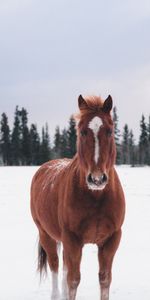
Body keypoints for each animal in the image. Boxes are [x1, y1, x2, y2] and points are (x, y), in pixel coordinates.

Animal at [30, 94, 125, 300]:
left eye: (110, 131)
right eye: (82, 132)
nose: (97, 178)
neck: (96, 197)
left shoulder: (111, 239)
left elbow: (104, 280)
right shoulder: (72, 240)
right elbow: (73, 280)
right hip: (46, 235)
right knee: (56, 266)